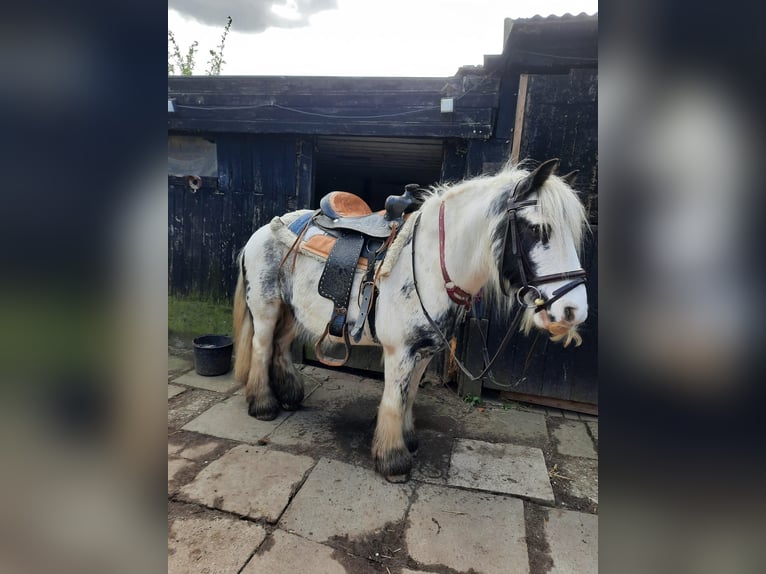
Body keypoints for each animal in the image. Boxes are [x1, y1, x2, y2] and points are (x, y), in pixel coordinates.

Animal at [231, 156, 592, 482]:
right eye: (538, 229)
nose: (574, 311)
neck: (429, 265)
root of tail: (263, 230)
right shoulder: (400, 352)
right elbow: (394, 400)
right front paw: (393, 461)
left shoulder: (424, 351)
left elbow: (410, 396)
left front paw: (408, 441)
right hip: (266, 309)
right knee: (262, 348)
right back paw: (263, 405)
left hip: (293, 312)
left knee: (280, 348)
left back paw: (289, 397)